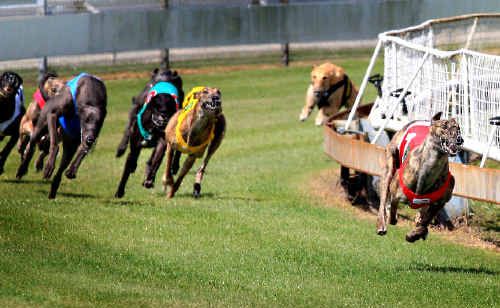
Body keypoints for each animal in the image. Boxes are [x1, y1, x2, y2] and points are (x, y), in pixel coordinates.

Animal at [114, 70, 184, 199]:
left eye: (170, 107)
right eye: (158, 106)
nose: (164, 116)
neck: (154, 127)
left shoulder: (162, 143)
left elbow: (156, 160)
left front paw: (149, 180)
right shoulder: (135, 143)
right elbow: (128, 166)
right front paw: (119, 191)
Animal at [376, 112, 462, 242]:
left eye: (459, 129)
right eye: (444, 126)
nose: (459, 140)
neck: (429, 169)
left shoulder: (441, 202)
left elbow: (424, 223)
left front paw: (416, 233)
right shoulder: (396, 194)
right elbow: (392, 211)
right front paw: (393, 218)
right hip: (389, 165)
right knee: (383, 199)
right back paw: (382, 224)